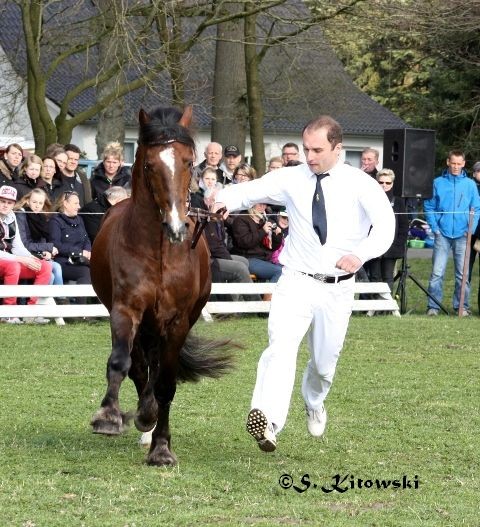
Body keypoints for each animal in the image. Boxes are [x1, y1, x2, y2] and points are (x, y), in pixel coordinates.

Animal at [90, 106, 234, 466]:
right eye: (149, 165)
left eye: (188, 162)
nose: (176, 226)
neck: (159, 250)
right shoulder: (126, 310)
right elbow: (121, 363)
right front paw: (109, 417)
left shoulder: (177, 321)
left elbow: (166, 383)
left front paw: (161, 449)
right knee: (140, 367)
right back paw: (144, 416)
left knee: (154, 372)